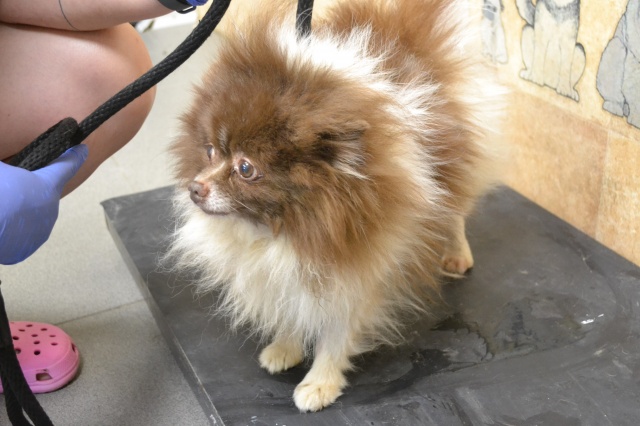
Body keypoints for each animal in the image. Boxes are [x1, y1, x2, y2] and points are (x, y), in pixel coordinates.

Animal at [168, 0, 504, 412]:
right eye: (211, 151)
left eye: (246, 169)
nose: (195, 188)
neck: (283, 227)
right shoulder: (293, 266)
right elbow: (291, 306)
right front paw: (286, 346)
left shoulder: (360, 268)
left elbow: (336, 332)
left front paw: (320, 383)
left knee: (455, 213)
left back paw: (456, 254)